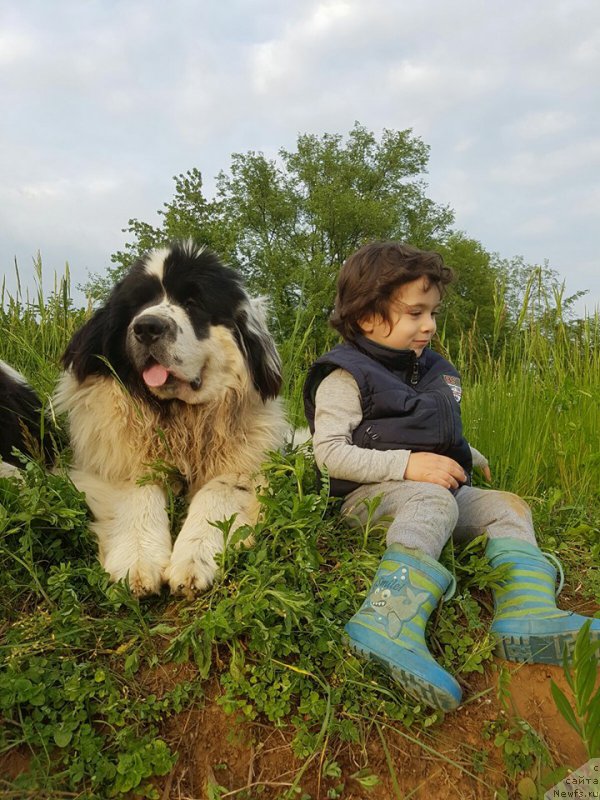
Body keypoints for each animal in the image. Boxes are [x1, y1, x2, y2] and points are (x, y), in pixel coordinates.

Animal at [54, 241, 288, 596]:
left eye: (193, 303)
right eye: (138, 305)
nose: (147, 327)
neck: (180, 418)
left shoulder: (244, 467)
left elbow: (216, 492)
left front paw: (194, 557)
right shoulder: (117, 463)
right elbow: (139, 493)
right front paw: (138, 560)